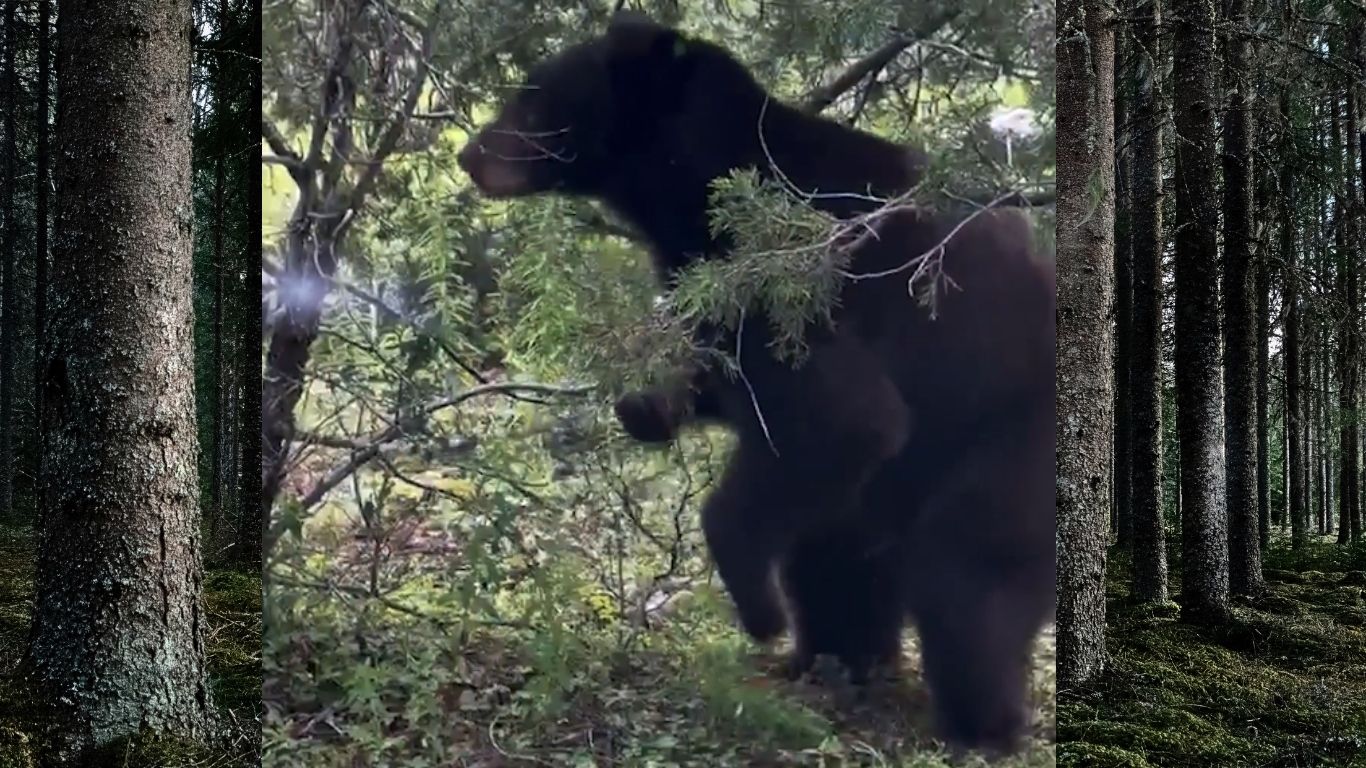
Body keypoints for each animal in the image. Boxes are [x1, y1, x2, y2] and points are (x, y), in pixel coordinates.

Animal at [457, 12, 1055, 753]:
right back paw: (836, 663)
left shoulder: (793, 279)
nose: (470, 154)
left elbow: (846, 416)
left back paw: (979, 722)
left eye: (535, 103)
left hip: (1004, 444)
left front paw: (759, 610)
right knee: (839, 558)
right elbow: (726, 380)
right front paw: (645, 402)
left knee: (964, 581)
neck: (699, 185)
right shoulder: (712, 280)